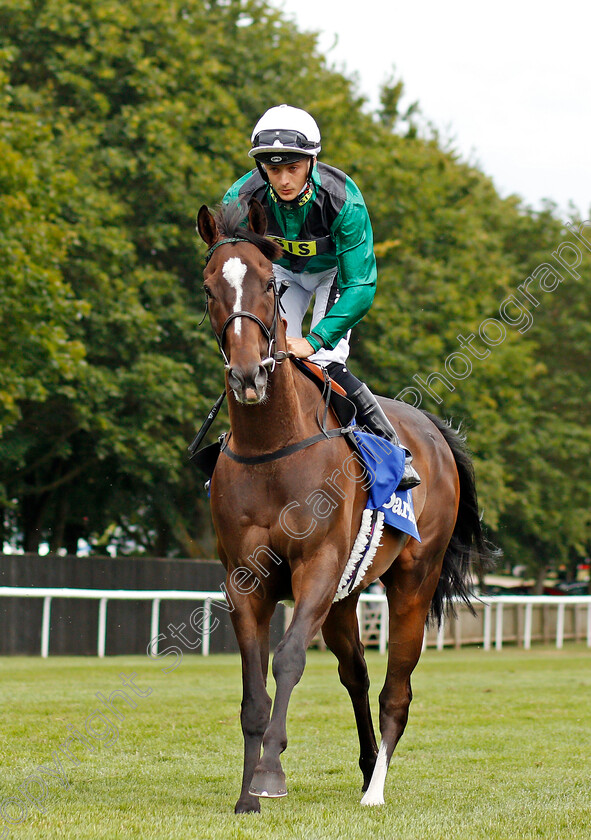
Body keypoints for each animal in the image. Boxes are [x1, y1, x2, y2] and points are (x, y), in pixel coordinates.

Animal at [197, 199, 492, 812]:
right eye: (209, 287)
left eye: (270, 283)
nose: (248, 375)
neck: (272, 447)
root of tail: (434, 430)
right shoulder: (245, 578)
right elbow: (253, 688)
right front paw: (247, 795)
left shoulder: (318, 565)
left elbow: (288, 659)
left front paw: (270, 774)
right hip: (344, 595)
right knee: (356, 673)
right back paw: (363, 768)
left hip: (412, 582)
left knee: (395, 689)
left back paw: (375, 789)